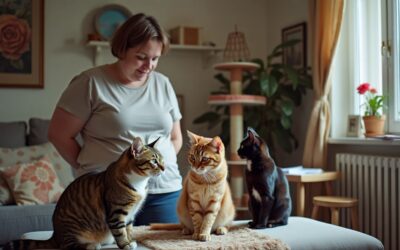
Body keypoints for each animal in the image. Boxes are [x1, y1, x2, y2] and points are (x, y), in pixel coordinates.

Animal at [4, 137, 164, 250]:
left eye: (162, 160)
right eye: (154, 161)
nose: (164, 168)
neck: (139, 182)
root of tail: (55, 235)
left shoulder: (130, 214)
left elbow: (129, 228)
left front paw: (130, 240)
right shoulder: (116, 212)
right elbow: (120, 231)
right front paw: (125, 244)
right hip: (73, 227)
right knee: (66, 246)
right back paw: (90, 245)